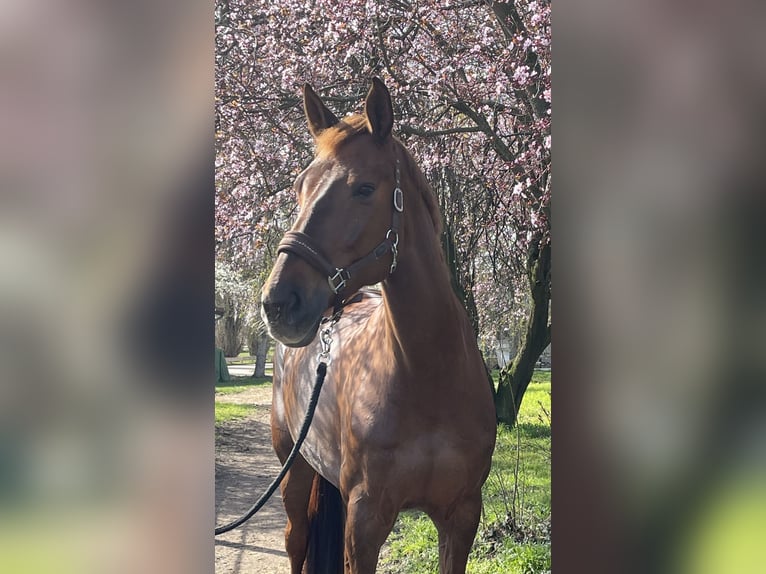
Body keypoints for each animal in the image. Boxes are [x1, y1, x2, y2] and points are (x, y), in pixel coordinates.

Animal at [260, 77, 498, 574]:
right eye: (299, 188)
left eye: (364, 188)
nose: (278, 303)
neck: (429, 376)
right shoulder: (365, 521)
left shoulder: (462, 516)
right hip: (294, 468)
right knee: (296, 541)